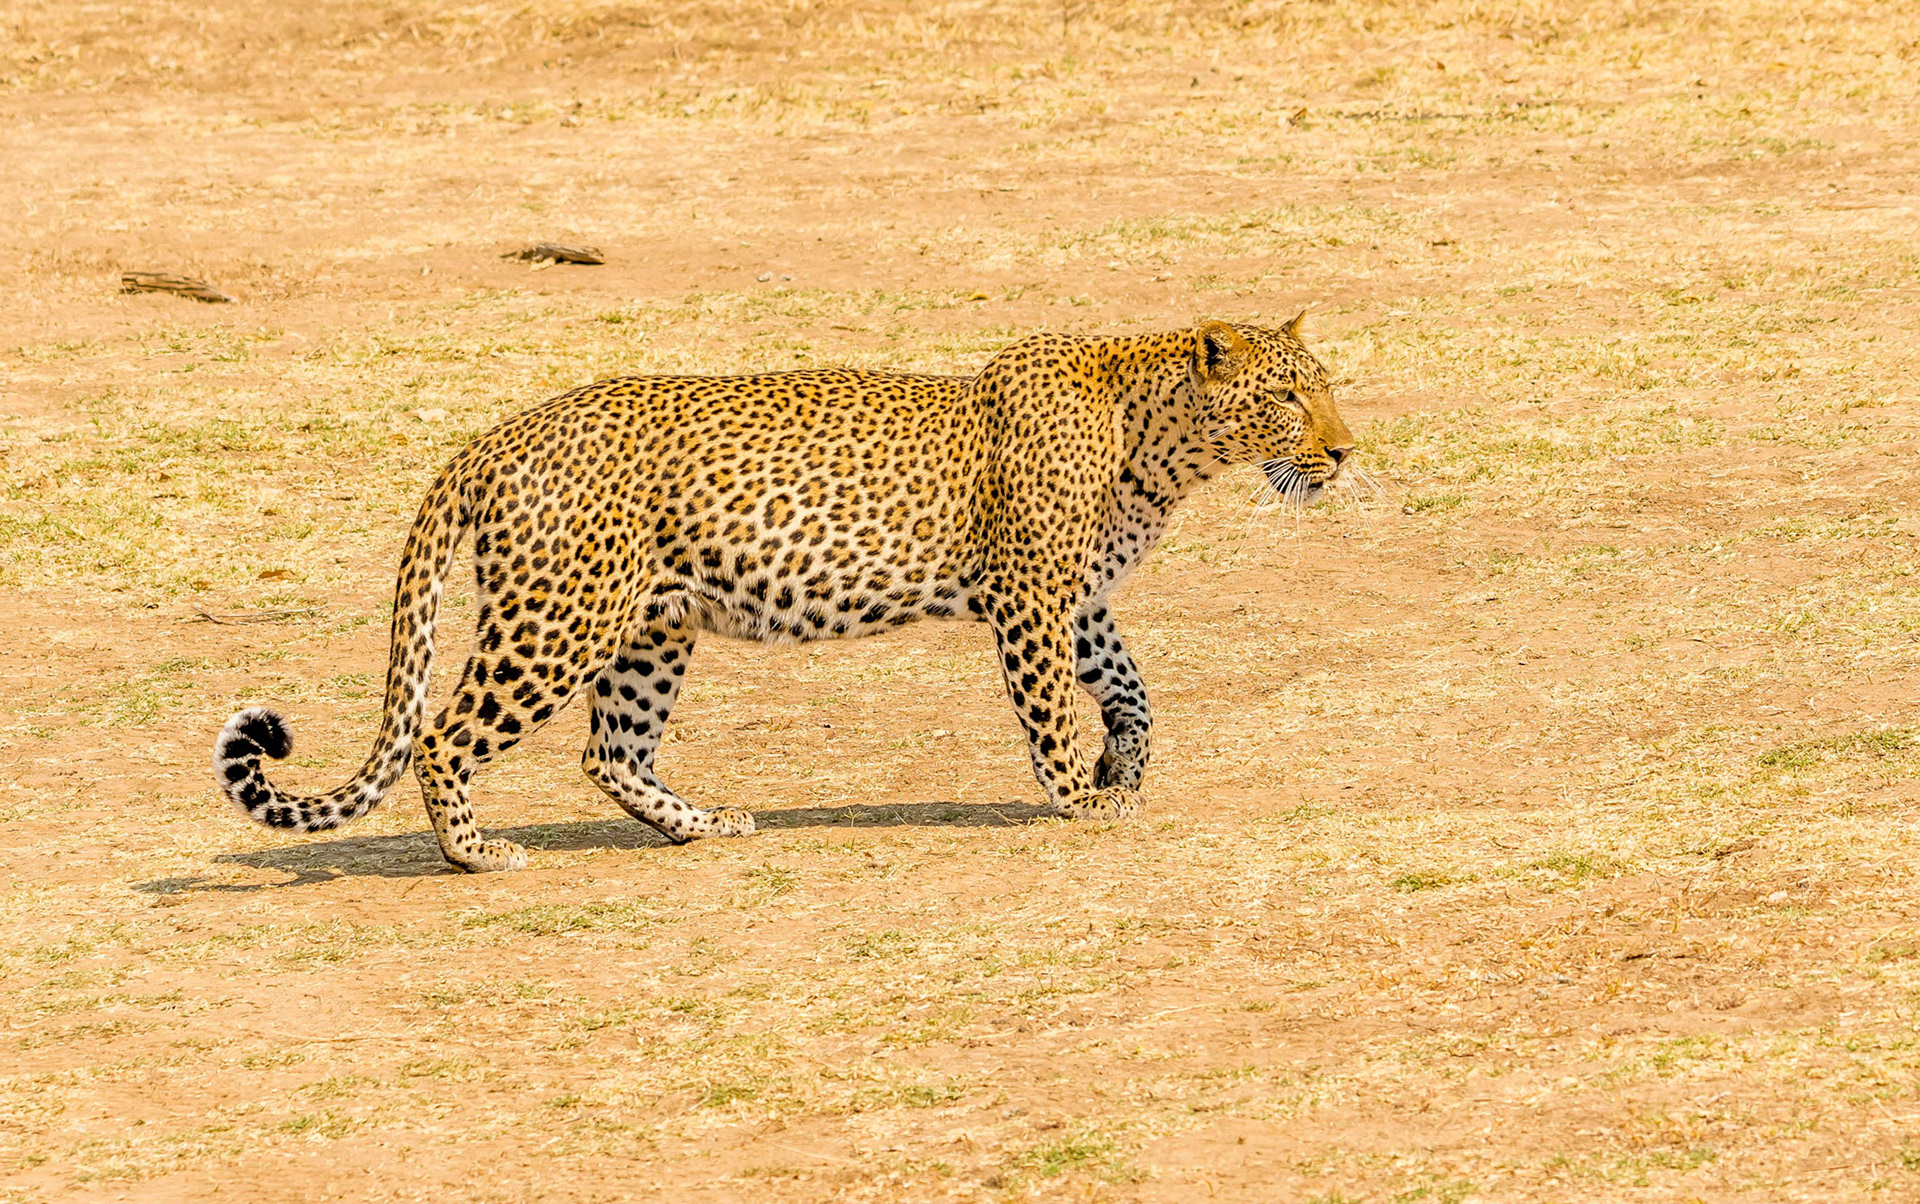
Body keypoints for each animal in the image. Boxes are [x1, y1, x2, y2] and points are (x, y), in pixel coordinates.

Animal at [214, 316, 1355, 873]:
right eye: (1288, 394)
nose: (1347, 451)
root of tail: (488, 439)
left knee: (608, 751)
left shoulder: (1080, 597)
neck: (1160, 446)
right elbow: (1049, 710)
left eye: (1326, 386)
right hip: (559, 620)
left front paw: (1126, 765)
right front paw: (1080, 797)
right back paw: (476, 854)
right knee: (447, 735)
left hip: (653, 626)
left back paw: (700, 826)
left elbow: (1131, 689)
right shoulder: (1033, 594)